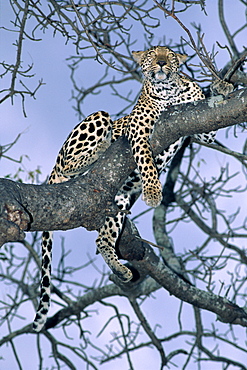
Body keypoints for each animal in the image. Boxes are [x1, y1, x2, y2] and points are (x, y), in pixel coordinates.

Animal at [33, 46, 216, 332]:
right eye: (152, 55)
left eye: (169, 55)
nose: (161, 63)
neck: (169, 91)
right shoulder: (140, 130)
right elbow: (146, 162)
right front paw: (153, 192)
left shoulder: (202, 129)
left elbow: (204, 115)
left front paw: (223, 86)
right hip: (96, 120)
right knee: (70, 162)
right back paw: (102, 147)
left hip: (117, 201)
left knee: (102, 239)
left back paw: (121, 270)